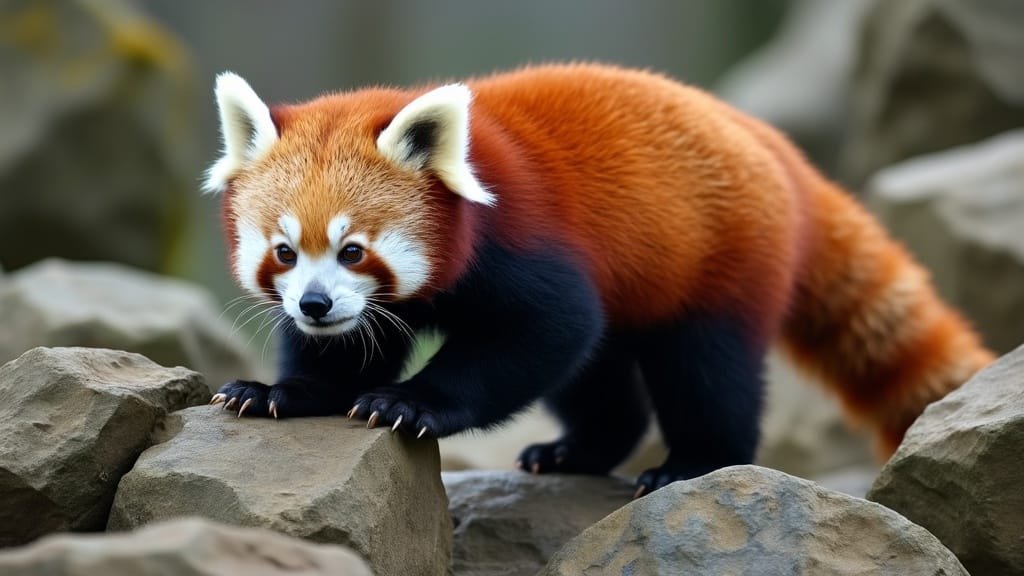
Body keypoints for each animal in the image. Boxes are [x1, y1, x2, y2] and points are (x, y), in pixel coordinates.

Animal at [203, 62, 995, 494]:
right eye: (284, 252)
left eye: (353, 251)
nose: (314, 304)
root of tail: (771, 144)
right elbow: (344, 352)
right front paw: (279, 392)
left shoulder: (523, 240)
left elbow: (548, 330)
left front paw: (412, 403)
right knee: (602, 377)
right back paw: (576, 451)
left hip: (724, 259)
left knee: (704, 371)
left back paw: (694, 463)